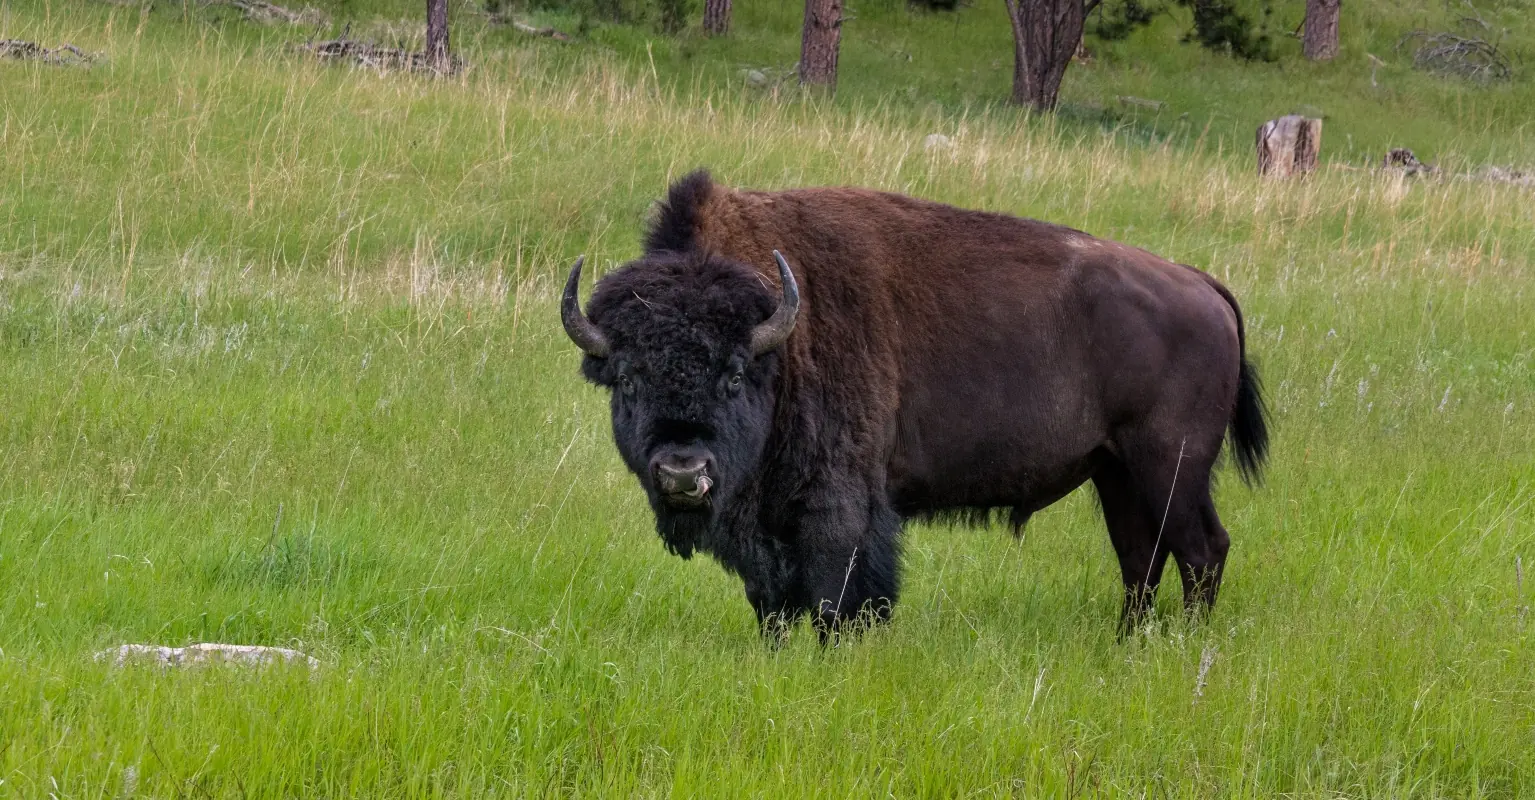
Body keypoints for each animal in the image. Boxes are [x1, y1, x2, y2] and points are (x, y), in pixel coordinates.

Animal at [562, 170, 1268, 639]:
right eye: (627, 379)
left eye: (734, 375)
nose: (682, 472)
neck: (781, 340)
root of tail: (1201, 284)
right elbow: (772, 603)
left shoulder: (840, 508)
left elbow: (837, 595)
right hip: (1115, 471)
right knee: (1140, 558)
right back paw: (1127, 644)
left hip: (1171, 466)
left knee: (1201, 551)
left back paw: (1184, 646)